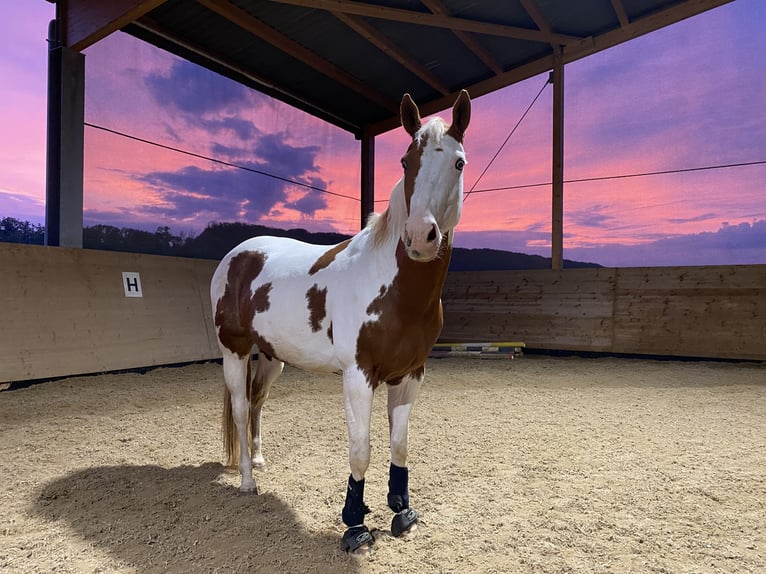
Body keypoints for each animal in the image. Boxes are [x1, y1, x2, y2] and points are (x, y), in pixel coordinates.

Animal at [210, 90, 471, 554]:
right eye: (405, 161)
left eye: (458, 162)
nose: (420, 237)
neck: (390, 284)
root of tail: (237, 255)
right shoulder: (358, 376)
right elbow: (360, 449)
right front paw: (355, 525)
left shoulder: (411, 374)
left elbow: (399, 446)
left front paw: (402, 512)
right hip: (234, 350)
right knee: (240, 408)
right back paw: (247, 480)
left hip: (272, 357)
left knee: (257, 402)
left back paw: (258, 458)